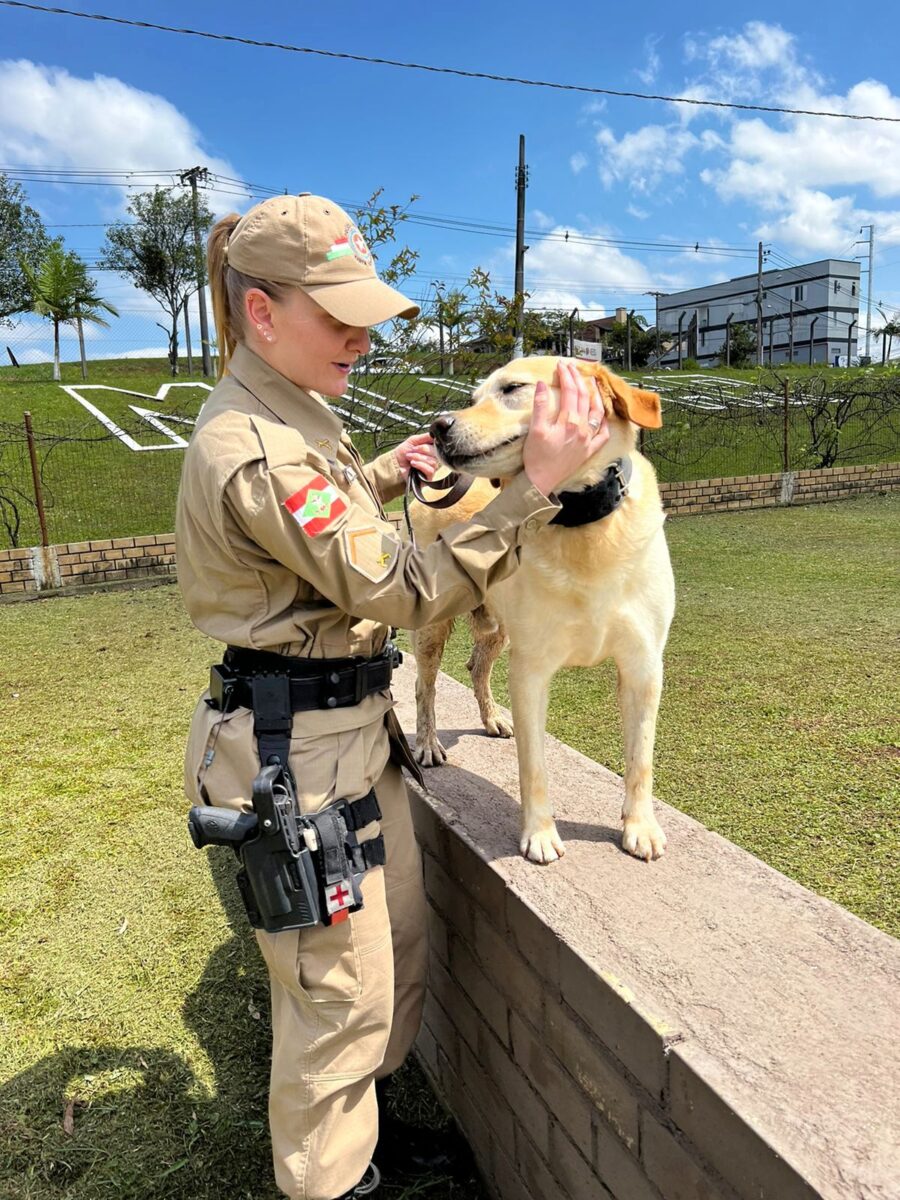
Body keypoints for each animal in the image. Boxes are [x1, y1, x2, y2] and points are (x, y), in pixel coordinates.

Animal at [412, 355, 672, 864]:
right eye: (473, 398)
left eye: (512, 388)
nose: (437, 426)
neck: (583, 524)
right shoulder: (531, 670)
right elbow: (534, 767)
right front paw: (540, 834)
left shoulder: (644, 666)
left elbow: (641, 760)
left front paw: (640, 826)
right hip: (433, 628)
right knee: (423, 687)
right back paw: (428, 743)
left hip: (497, 627)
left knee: (477, 666)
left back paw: (492, 718)